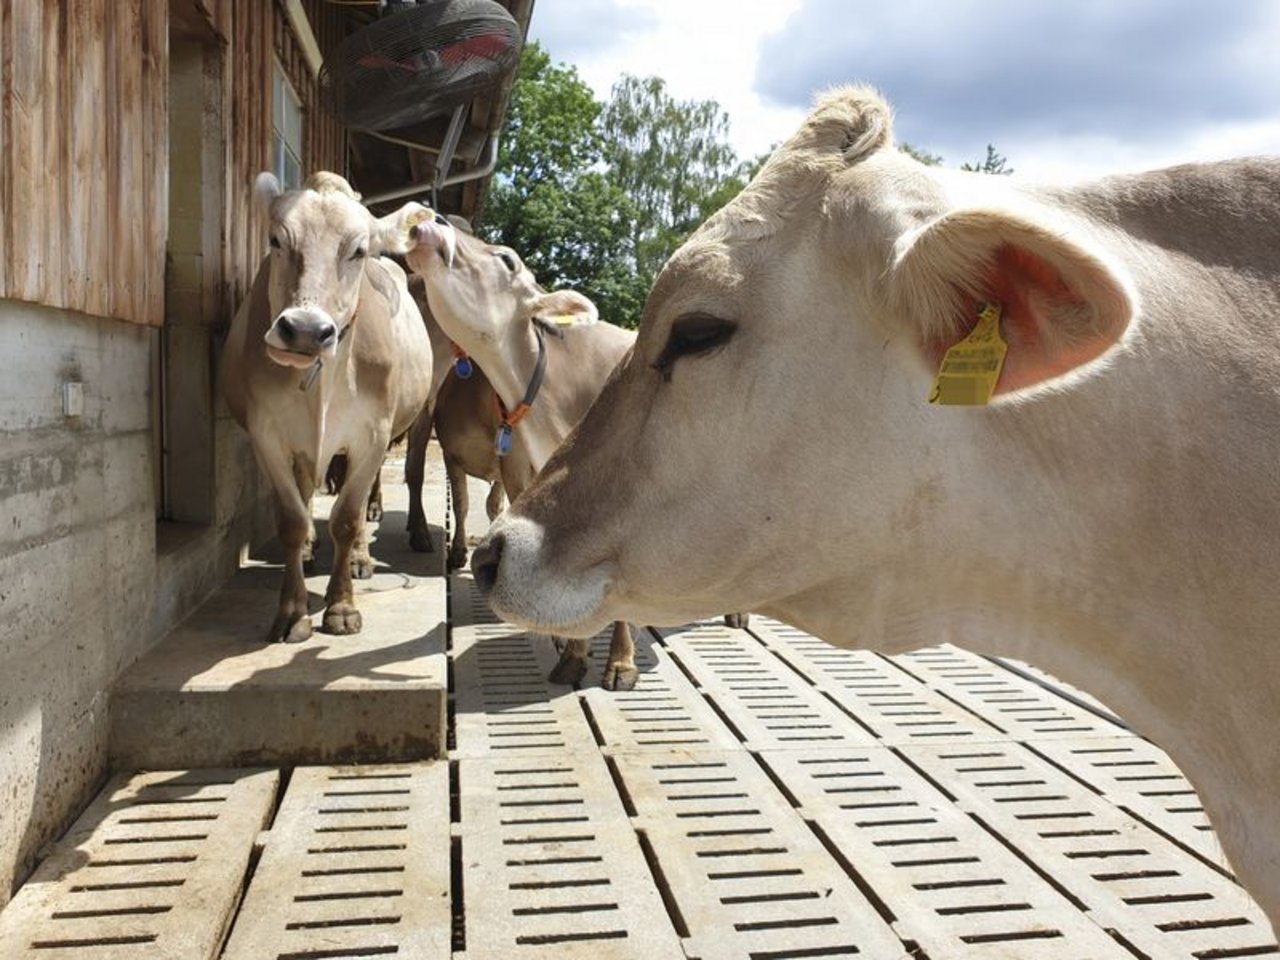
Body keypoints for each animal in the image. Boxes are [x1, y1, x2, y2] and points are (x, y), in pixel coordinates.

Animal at [222, 171, 432, 642]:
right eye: (276, 240)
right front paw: (293, 611)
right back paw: (309, 552)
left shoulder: (372, 435)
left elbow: (347, 519)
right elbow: (292, 519)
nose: (304, 330)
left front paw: (341, 606)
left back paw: (359, 559)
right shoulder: (268, 435)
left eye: (358, 250)